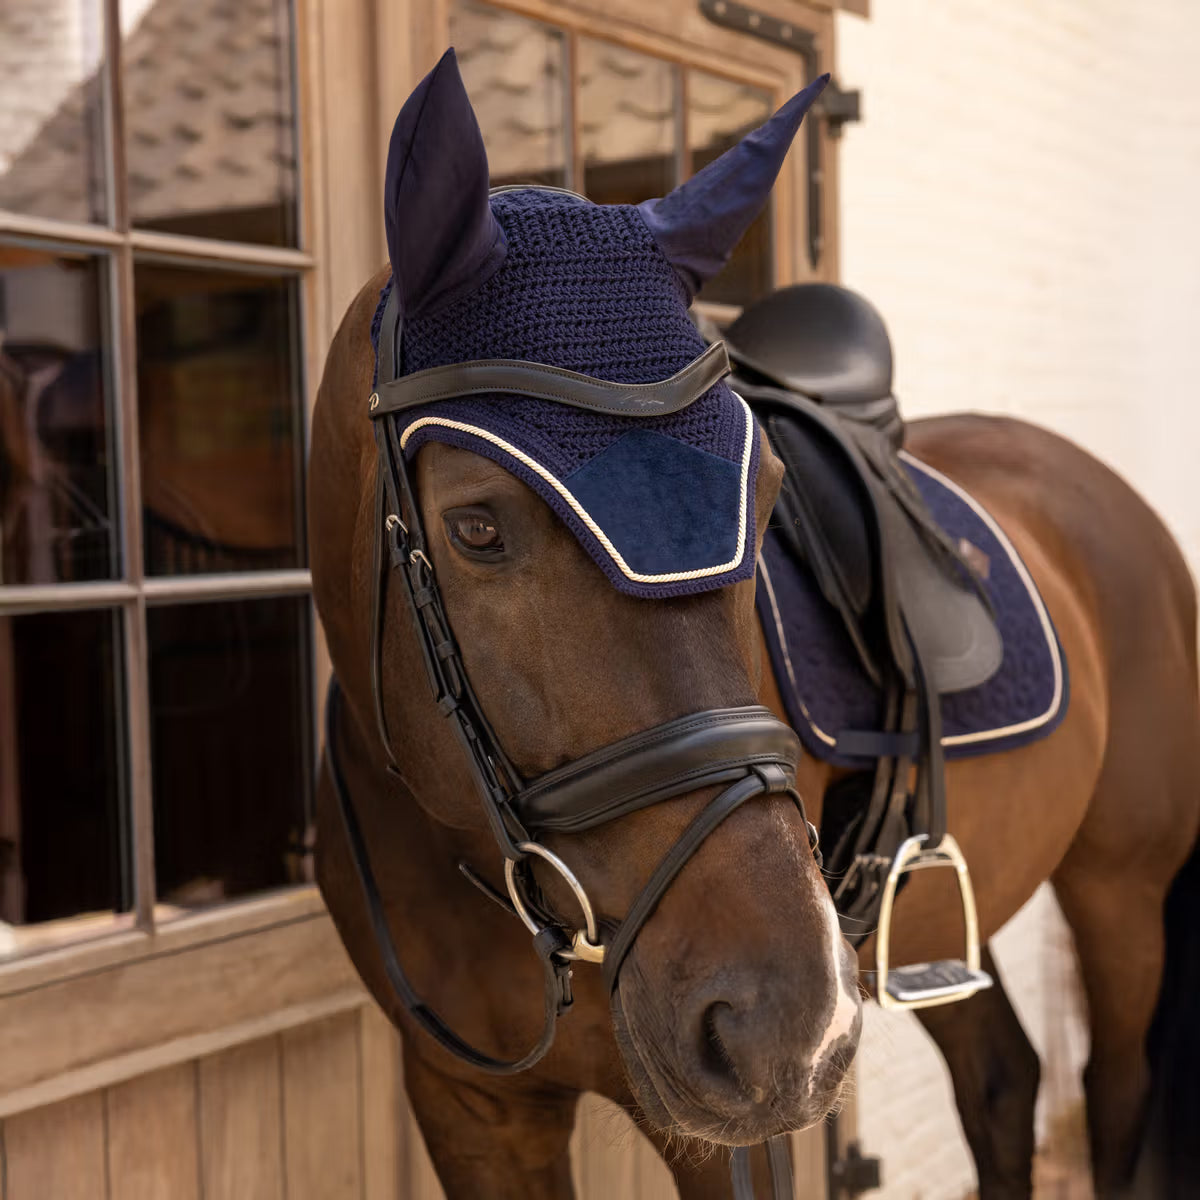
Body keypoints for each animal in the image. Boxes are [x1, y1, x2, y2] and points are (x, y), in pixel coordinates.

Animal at [308, 50, 1200, 1200]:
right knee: (1004, 1080)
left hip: (1118, 888)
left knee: (1111, 1086)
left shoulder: (731, 1136)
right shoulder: (472, 1106)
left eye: (767, 491)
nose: (783, 1024)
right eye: (476, 526)